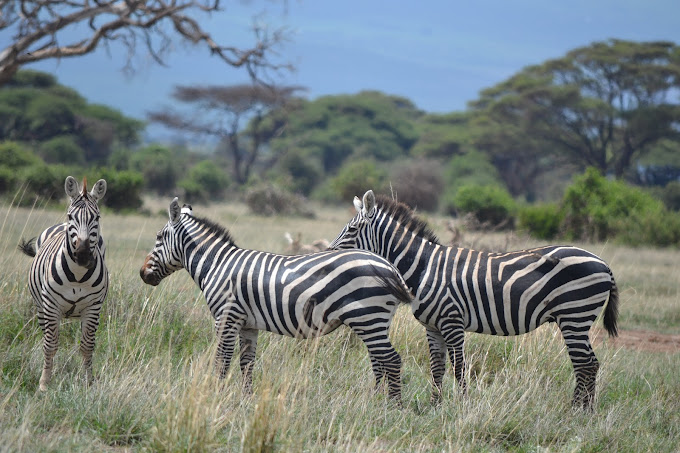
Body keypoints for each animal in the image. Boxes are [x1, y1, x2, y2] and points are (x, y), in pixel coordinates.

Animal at [18, 175, 107, 390]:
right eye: (70, 216)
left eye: (97, 218)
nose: (82, 255)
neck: (78, 275)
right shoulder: (51, 306)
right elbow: (50, 345)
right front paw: (44, 383)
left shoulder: (93, 307)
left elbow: (87, 346)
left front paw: (88, 381)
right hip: (42, 308)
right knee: (47, 338)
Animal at [139, 198, 410, 402]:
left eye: (159, 237)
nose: (142, 274)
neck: (217, 264)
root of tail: (390, 267)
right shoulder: (247, 324)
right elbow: (246, 363)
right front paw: (246, 398)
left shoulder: (226, 318)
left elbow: (221, 361)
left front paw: (214, 395)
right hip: (375, 320)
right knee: (380, 360)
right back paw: (377, 400)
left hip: (368, 317)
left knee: (391, 360)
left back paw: (392, 406)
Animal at [326, 189, 620, 408]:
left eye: (351, 230)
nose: (328, 254)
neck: (424, 268)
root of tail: (603, 262)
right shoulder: (433, 327)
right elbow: (436, 367)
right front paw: (435, 406)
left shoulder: (452, 321)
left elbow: (459, 367)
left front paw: (463, 406)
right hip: (576, 318)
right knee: (589, 364)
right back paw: (582, 409)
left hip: (575, 315)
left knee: (586, 364)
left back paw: (579, 411)